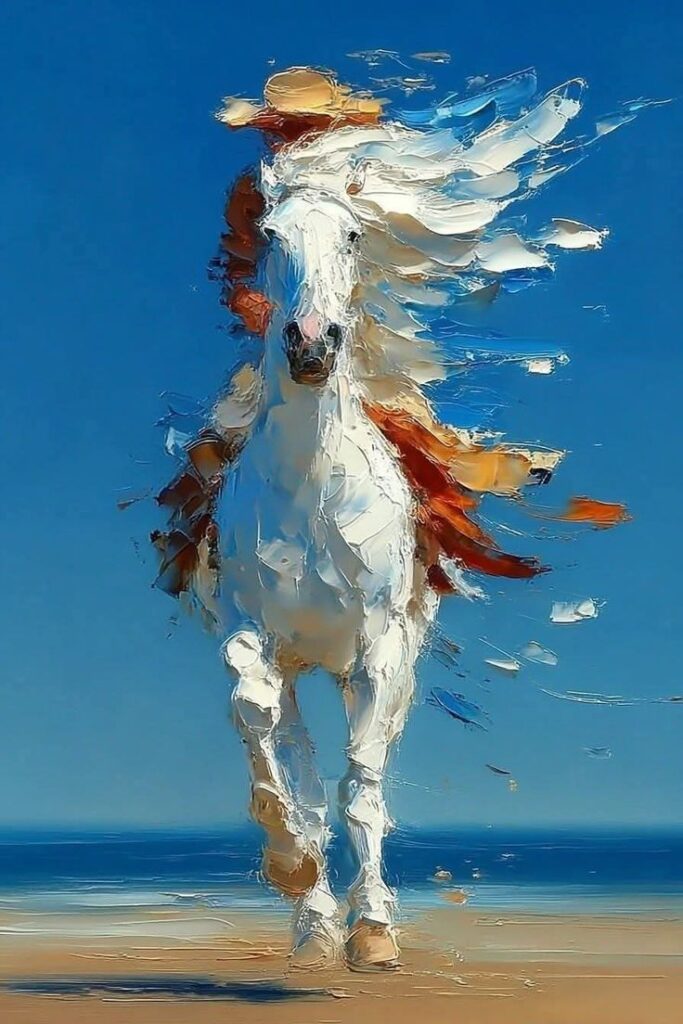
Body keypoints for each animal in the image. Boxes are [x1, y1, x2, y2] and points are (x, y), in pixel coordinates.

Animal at [151, 67, 632, 971]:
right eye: (269, 233)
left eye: (349, 236)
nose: (309, 344)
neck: (312, 493)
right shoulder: (253, 637)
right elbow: (264, 729)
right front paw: (294, 872)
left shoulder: (378, 651)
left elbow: (361, 790)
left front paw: (370, 932)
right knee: (300, 760)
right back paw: (312, 919)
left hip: (387, 663)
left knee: (360, 782)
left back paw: (362, 921)